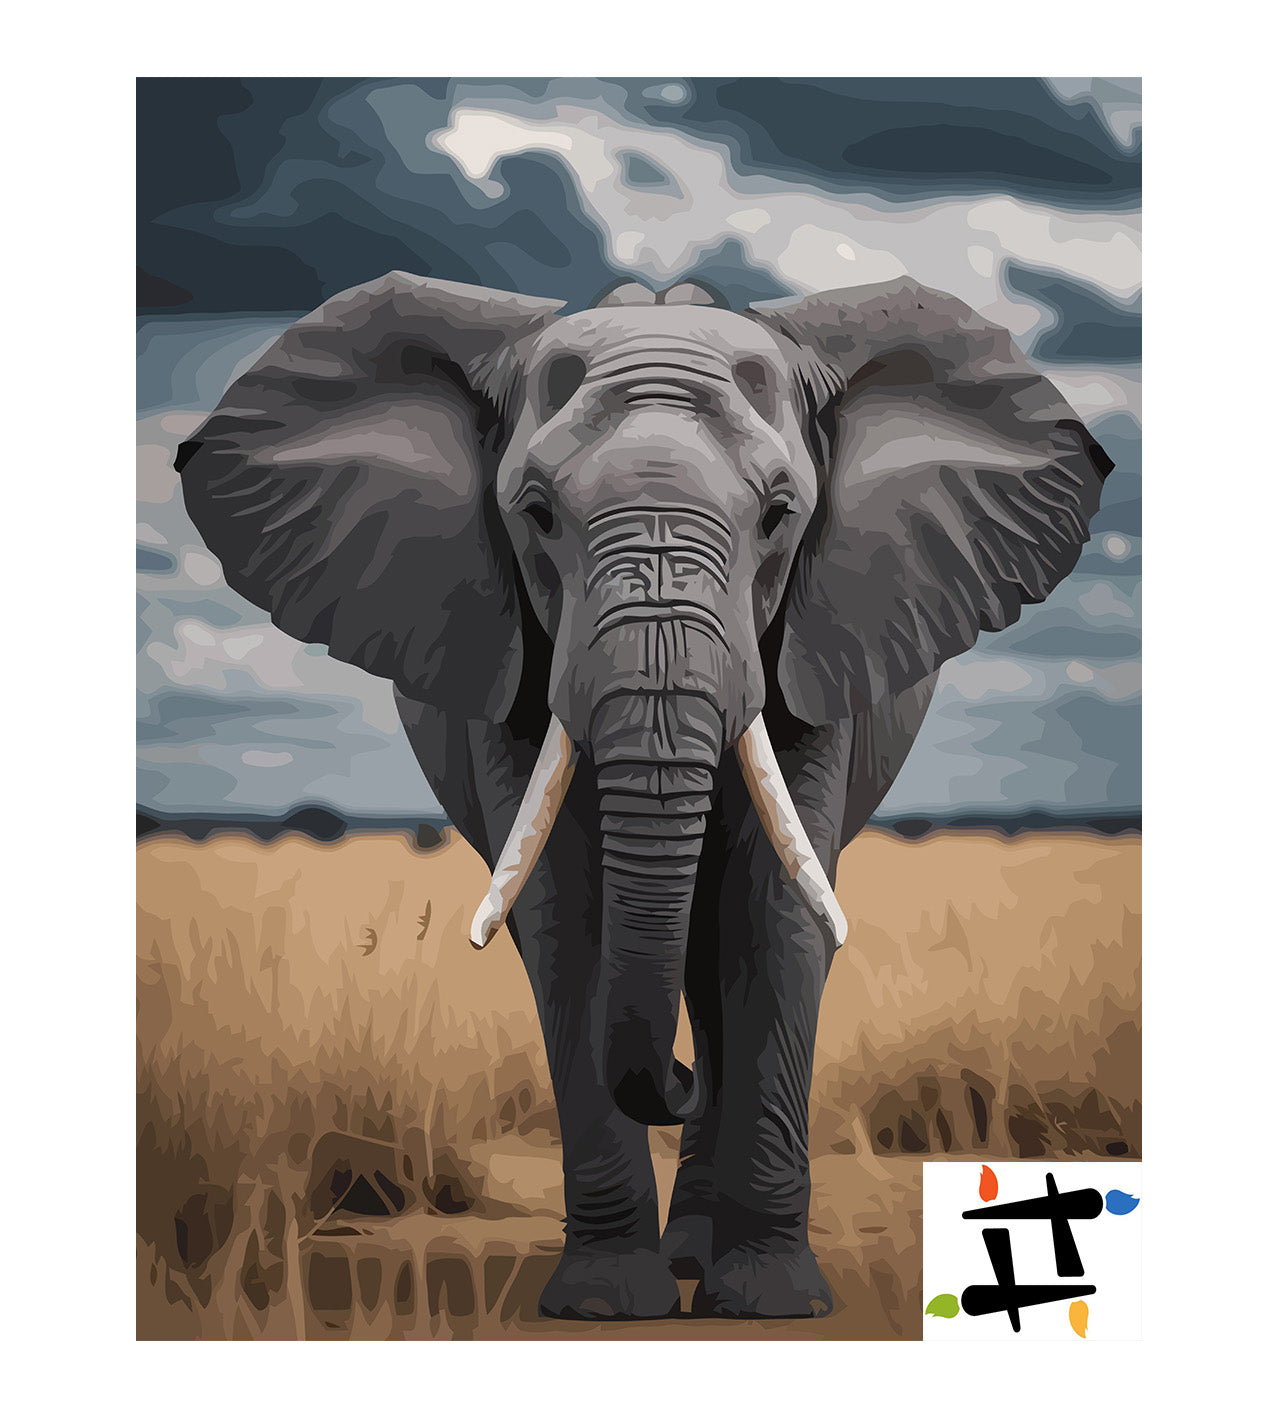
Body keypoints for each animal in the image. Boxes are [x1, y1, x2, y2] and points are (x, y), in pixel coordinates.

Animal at [175, 271, 1112, 1322]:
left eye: (779, 513)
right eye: (536, 513)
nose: (676, 1077)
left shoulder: (813, 643)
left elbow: (772, 918)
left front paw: (773, 1303)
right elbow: (566, 918)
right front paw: (605, 1303)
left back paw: (702, 1247)